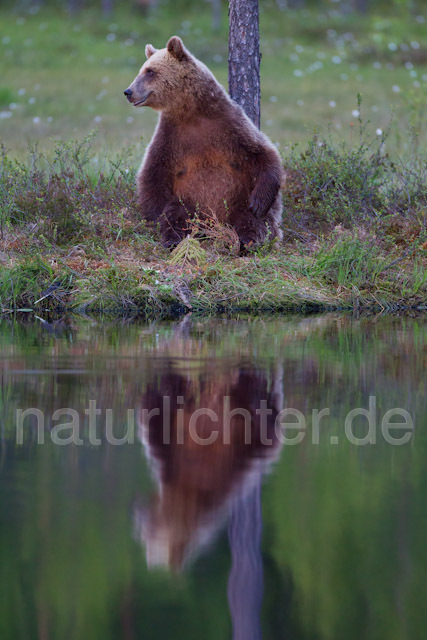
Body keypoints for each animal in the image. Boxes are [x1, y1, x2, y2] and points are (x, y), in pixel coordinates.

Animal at [123, 34, 284, 250]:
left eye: (150, 71)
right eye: (143, 69)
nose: (128, 91)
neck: (192, 112)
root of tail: (213, 225)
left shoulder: (229, 125)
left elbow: (263, 153)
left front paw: (259, 202)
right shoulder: (172, 136)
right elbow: (153, 172)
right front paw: (153, 216)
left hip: (238, 198)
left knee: (253, 219)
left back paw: (246, 240)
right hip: (189, 201)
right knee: (176, 214)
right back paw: (174, 238)